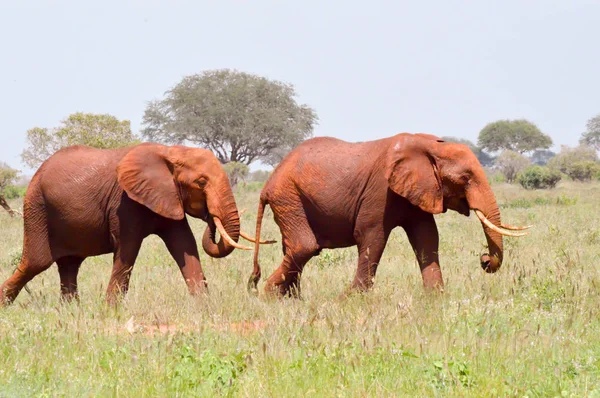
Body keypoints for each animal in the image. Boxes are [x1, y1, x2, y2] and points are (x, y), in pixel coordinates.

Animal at [0, 143, 268, 304]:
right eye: (201, 183)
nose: (211, 217)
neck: (170, 152)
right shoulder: (125, 203)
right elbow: (127, 250)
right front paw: (112, 310)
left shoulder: (168, 196)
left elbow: (185, 245)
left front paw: (204, 305)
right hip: (36, 208)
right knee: (35, 263)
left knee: (69, 265)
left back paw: (70, 311)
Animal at [248, 132, 528, 296]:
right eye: (465, 178)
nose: (484, 259)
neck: (430, 145)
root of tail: (267, 183)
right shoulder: (379, 192)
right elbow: (372, 238)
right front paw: (352, 300)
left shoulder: (419, 191)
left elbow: (427, 238)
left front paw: (435, 299)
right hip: (289, 197)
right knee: (305, 246)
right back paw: (269, 295)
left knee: (294, 248)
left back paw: (290, 300)